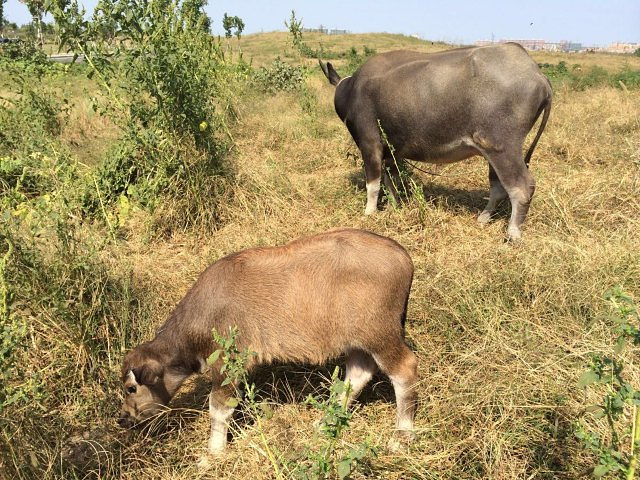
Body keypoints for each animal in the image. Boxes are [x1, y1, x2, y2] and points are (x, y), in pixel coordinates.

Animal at [118, 228, 417, 457]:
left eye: (131, 388)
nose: (123, 418)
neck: (204, 311)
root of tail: (401, 254)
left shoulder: (228, 362)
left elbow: (219, 408)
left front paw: (213, 453)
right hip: (357, 341)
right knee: (357, 374)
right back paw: (325, 423)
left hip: (380, 334)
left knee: (404, 368)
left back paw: (402, 435)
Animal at [320, 43, 552, 241]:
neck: (352, 90)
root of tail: (538, 75)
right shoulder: (392, 152)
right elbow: (392, 181)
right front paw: (394, 207)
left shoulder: (370, 145)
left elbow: (373, 185)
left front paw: (369, 213)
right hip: (492, 151)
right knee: (498, 187)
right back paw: (483, 218)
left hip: (501, 147)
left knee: (522, 187)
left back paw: (512, 233)